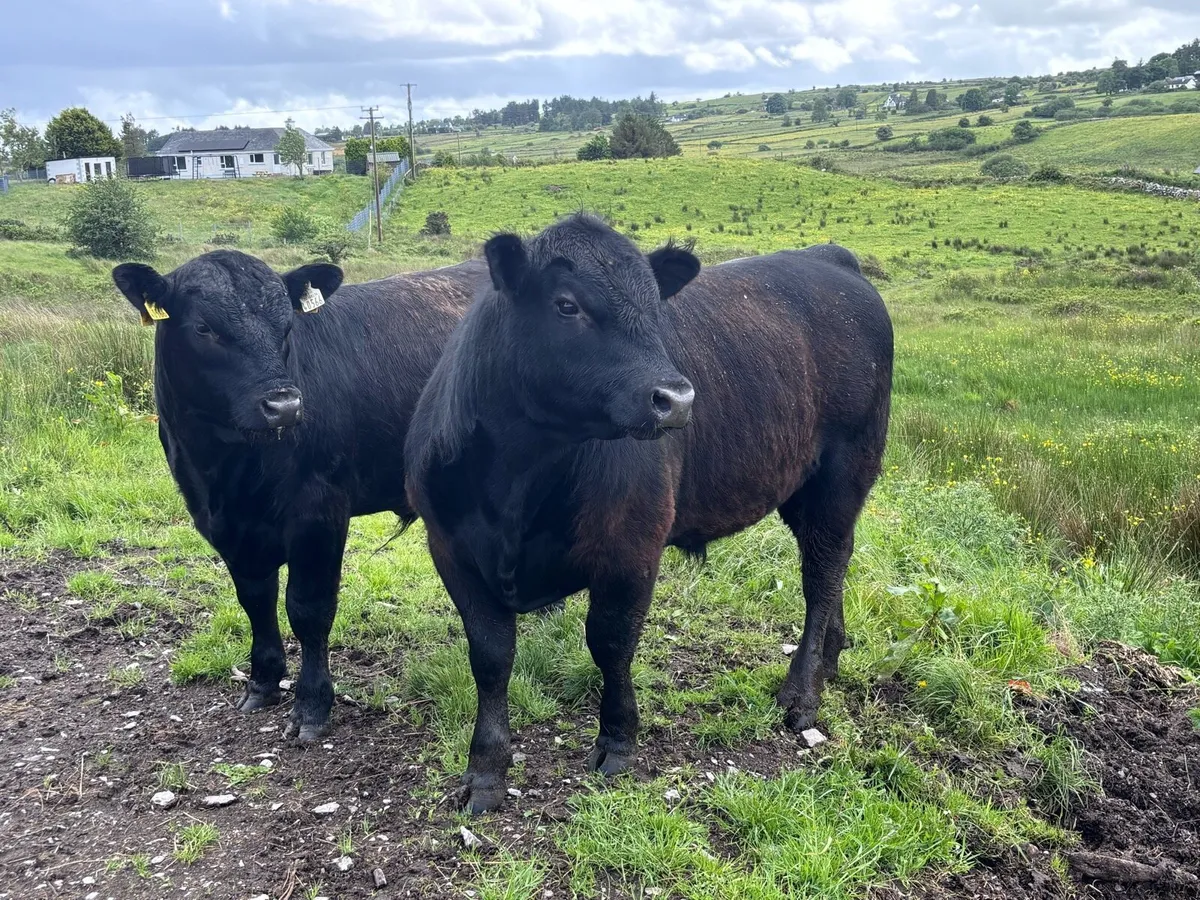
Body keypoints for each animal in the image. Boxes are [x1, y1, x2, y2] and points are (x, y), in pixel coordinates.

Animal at [111, 250, 484, 741]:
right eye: (204, 328)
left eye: (286, 326)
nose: (284, 406)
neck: (224, 470)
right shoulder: (224, 523)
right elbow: (255, 600)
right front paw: (263, 682)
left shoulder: (319, 512)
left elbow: (308, 608)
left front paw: (311, 705)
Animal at [405, 213, 893, 813]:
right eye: (566, 304)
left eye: (655, 309)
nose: (678, 399)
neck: (517, 480)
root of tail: (828, 258)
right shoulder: (452, 550)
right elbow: (492, 657)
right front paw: (486, 770)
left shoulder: (631, 546)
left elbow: (610, 643)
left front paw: (617, 743)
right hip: (803, 485)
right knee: (833, 565)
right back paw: (831, 657)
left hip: (844, 470)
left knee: (821, 572)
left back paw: (802, 694)